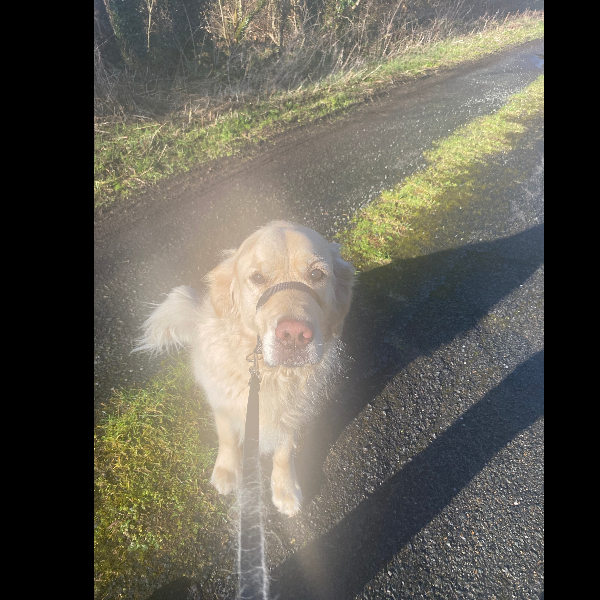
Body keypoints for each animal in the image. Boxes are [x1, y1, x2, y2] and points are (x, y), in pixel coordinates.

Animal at [136, 221, 355, 516]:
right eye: (258, 278)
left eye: (317, 274)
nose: (295, 335)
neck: (269, 374)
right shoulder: (225, 404)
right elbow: (227, 439)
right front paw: (227, 472)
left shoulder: (292, 413)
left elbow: (285, 452)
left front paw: (285, 489)